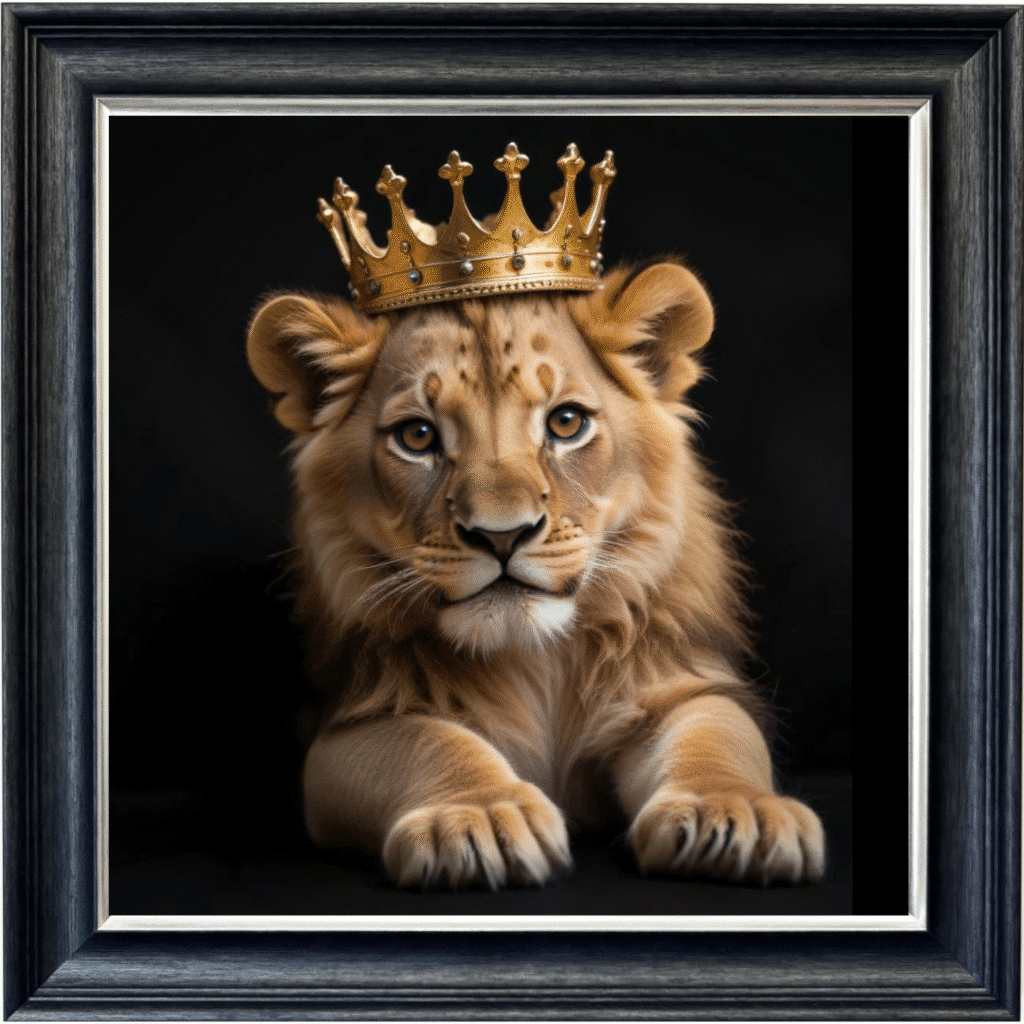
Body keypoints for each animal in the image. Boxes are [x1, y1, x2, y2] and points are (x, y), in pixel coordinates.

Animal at [247, 259, 825, 889]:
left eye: (566, 423)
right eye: (417, 436)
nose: (502, 535)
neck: (535, 660)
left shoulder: (672, 683)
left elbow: (716, 734)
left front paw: (735, 811)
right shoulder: (346, 726)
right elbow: (428, 740)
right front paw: (479, 817)